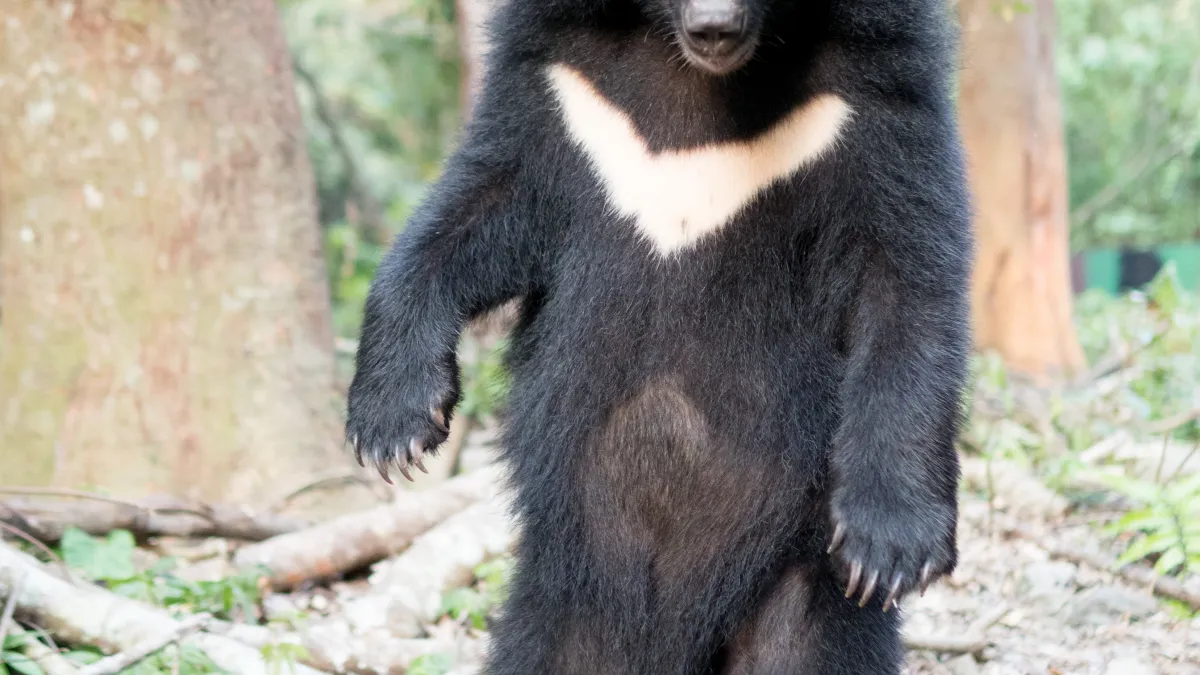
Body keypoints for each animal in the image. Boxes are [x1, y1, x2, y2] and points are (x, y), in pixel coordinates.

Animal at [345, 0, 973, 672]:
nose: (713, 27)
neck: (700, 77)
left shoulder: (872, 96)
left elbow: (905, 281)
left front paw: (891, 549)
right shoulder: (562, 88)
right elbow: (480, 201)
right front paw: (394, 429)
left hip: (796, 565)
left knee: (808, 645)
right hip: (569, 588)